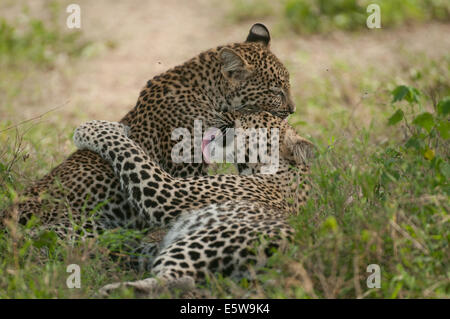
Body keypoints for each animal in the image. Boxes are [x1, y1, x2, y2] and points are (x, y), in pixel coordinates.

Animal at [72, 112, 314, 298]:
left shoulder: (169, 192)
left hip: (203, 241)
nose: (232, 115)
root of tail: (289, 256)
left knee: (176, 281)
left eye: (252, 118)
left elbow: (129, 151)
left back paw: (113, 291)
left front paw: (90, 128)